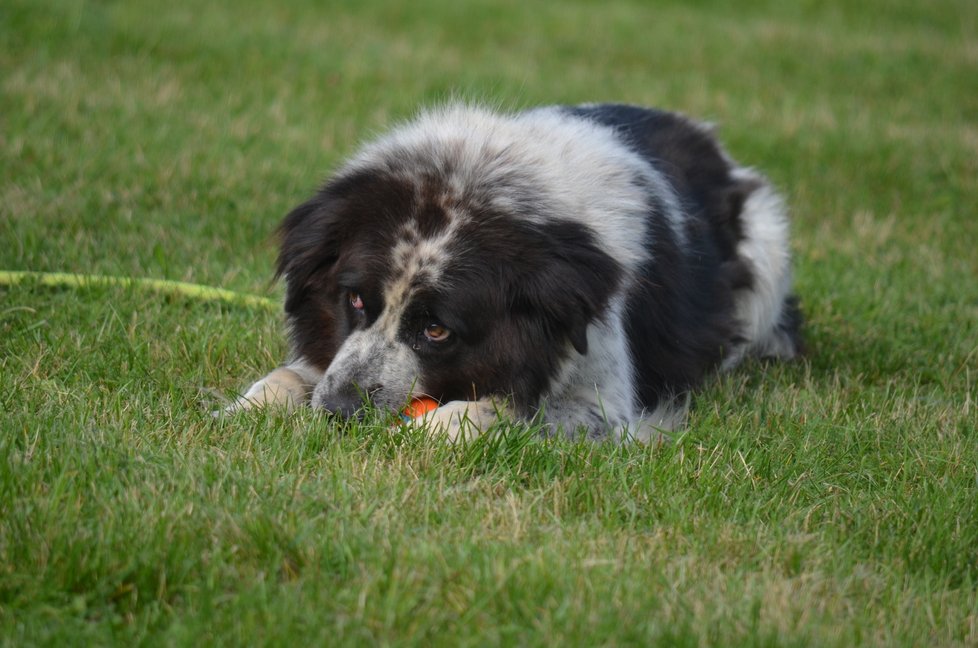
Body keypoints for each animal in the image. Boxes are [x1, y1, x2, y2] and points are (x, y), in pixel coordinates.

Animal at [231, 104, 800, 442]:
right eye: (353, 302)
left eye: (435, 330)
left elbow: (497, 409)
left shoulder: (602, 407)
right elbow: (287, 376)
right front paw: (239, 413)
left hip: (768, 250)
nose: (339, 412)